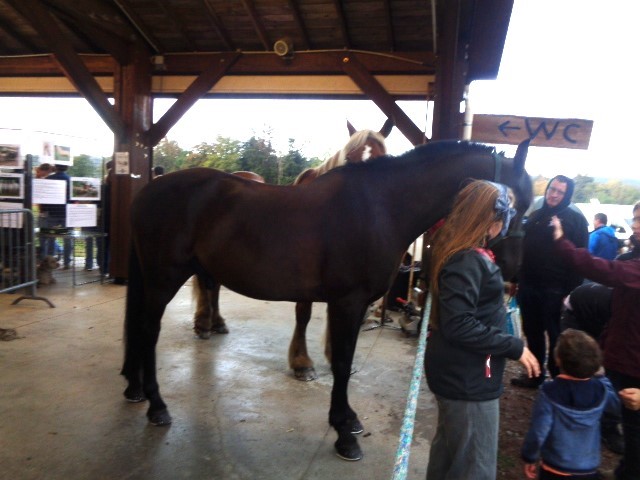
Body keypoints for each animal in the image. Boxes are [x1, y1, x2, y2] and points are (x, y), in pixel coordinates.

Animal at [121, 139, 532, 461]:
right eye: (515, 206)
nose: (512, 272)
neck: (382, 208)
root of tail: (146, 192)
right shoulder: (347, 302)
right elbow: (342, 362)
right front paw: (343, 434)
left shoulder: (351, 304)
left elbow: (342, 360)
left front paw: (348, 419)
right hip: (163, 279)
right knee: (148, 332)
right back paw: (157, 406)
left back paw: (137, 390)